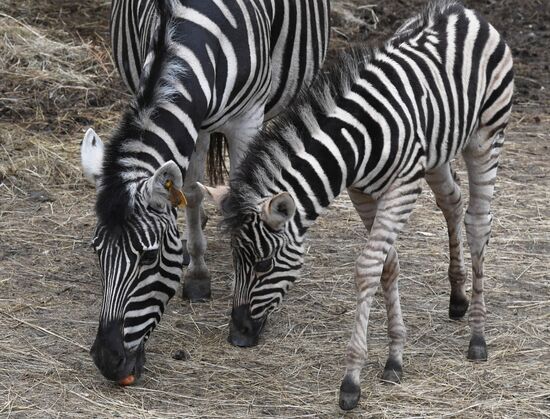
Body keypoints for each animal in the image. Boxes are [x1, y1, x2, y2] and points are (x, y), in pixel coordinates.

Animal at [81, 0, 330, 386]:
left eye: (148, 258)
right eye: (97, 252)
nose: (107, 361)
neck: (180, 30)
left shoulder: (247, 119)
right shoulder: (192, 118)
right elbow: (192, 192)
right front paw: (197, 273)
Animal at [205, 0, 516, 412]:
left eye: (263, 264)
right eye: (235, 261)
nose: (237, 338)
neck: (357, 143)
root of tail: (461, 11)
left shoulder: (401, 188)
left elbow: (369, 266)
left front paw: (352, 381)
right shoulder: (363, 194)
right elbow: (388, 265)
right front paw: (395, 357)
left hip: (486, 136)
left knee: (478, 222)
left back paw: (478, 338)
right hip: (437, 151)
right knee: (451, 201)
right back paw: (457, 300)